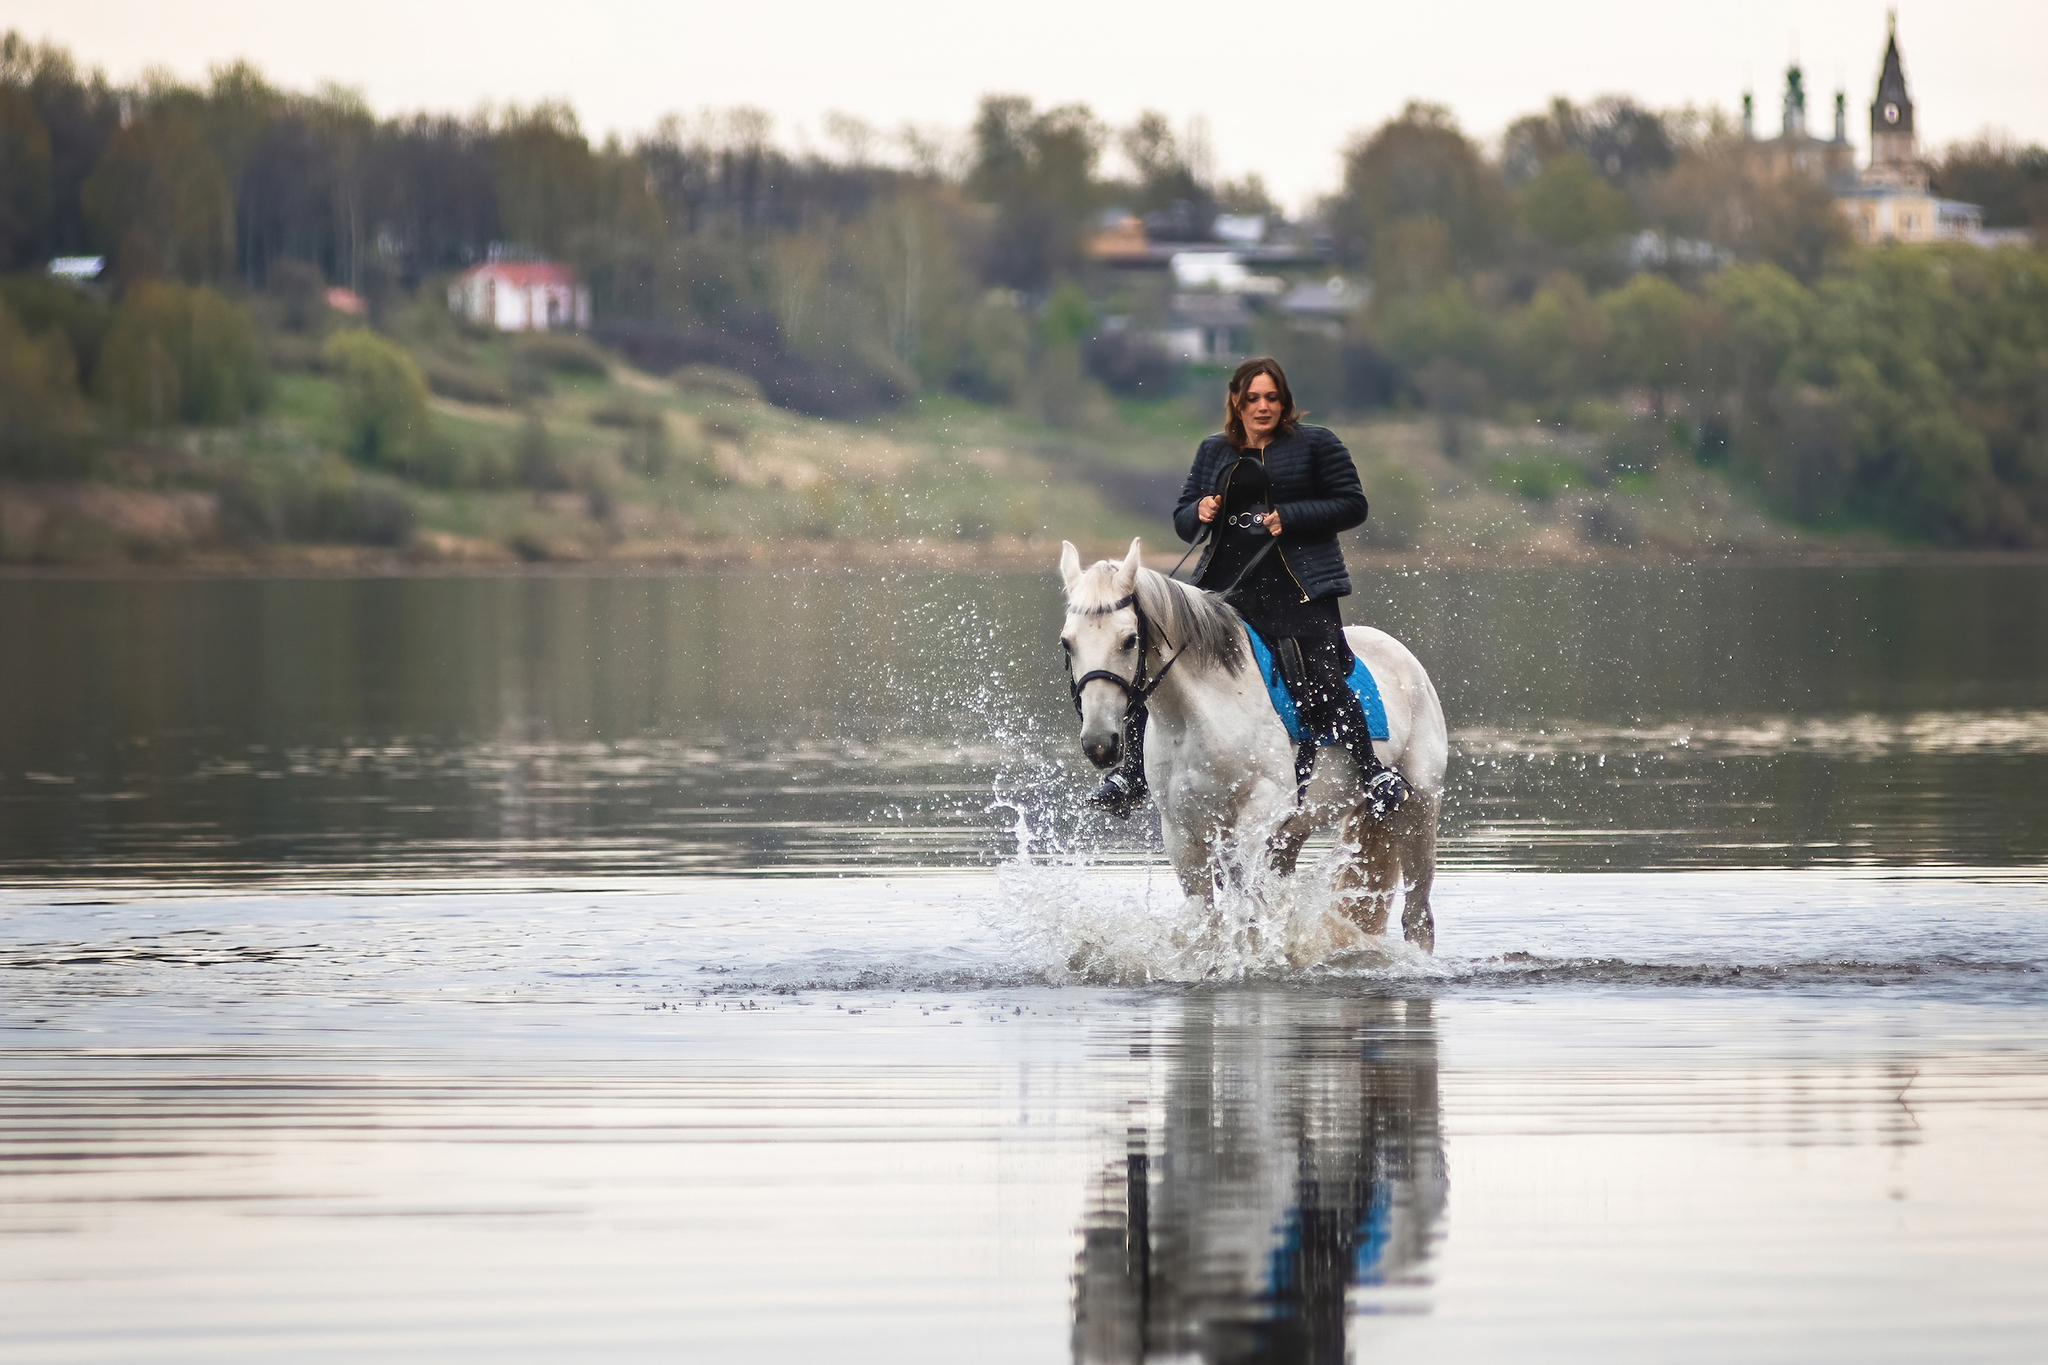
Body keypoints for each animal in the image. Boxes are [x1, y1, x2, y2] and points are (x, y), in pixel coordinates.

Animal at [1064, 540, 1449, 945]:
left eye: (1129, 640)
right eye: (1067, 642)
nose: (1099, 741)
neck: (1196, 715)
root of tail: (1404, 657)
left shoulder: (1264, 805)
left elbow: (1244, 891)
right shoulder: (1181, 833)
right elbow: (1209, 917)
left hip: (1420, 808)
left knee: (1417, 915)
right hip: (1295, 832)